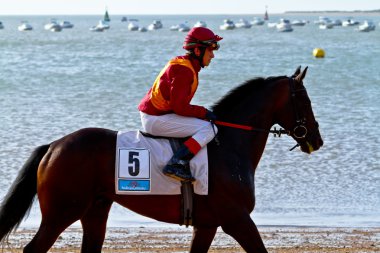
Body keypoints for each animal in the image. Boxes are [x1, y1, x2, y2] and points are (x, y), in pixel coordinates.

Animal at [0, 66, 324, 252]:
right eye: (305, 99)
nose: (317, 139)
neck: (229, 146)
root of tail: (53, 146)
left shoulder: (207, 225)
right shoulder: (237, 219)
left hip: (94, 210)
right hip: (61, 213)